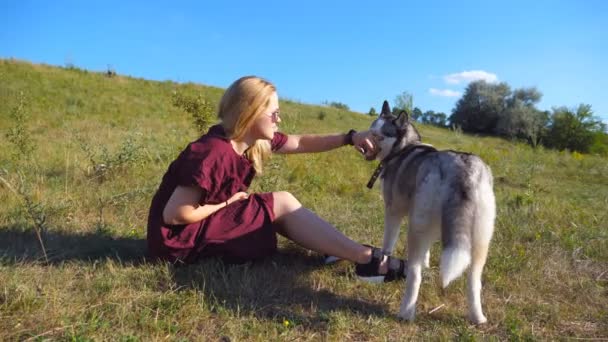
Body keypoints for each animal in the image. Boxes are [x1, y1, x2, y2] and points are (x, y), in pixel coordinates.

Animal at [364, 99, 496, 324]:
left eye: (378, 136)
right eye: (371, 131)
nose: (365, 146)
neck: (404, 148)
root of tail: (462, 169)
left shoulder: (394, 211)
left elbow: (387, 246)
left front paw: (382, 262)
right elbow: (427, 251)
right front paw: (427, 262)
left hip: (416, 230)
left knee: (414, 275)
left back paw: (406, 312)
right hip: (480, 239)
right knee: (474, 279)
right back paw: (477, 317)